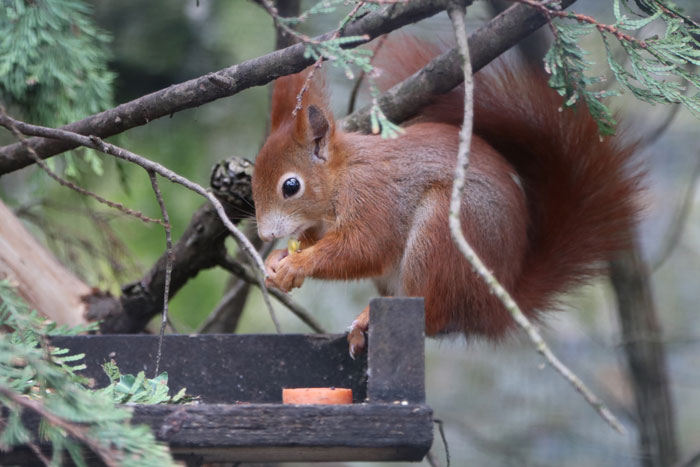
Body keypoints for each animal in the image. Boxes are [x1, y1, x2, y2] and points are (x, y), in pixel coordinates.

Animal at [250, 37, 640, 354]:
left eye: (290, 186)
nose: (266, 236)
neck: (341, 178)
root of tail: (491, 306)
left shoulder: (374, 199)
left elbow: (364, 248)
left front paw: (297, 263)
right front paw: (279, 259)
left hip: (440, 236)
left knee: (433, 319)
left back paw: (368, 319)